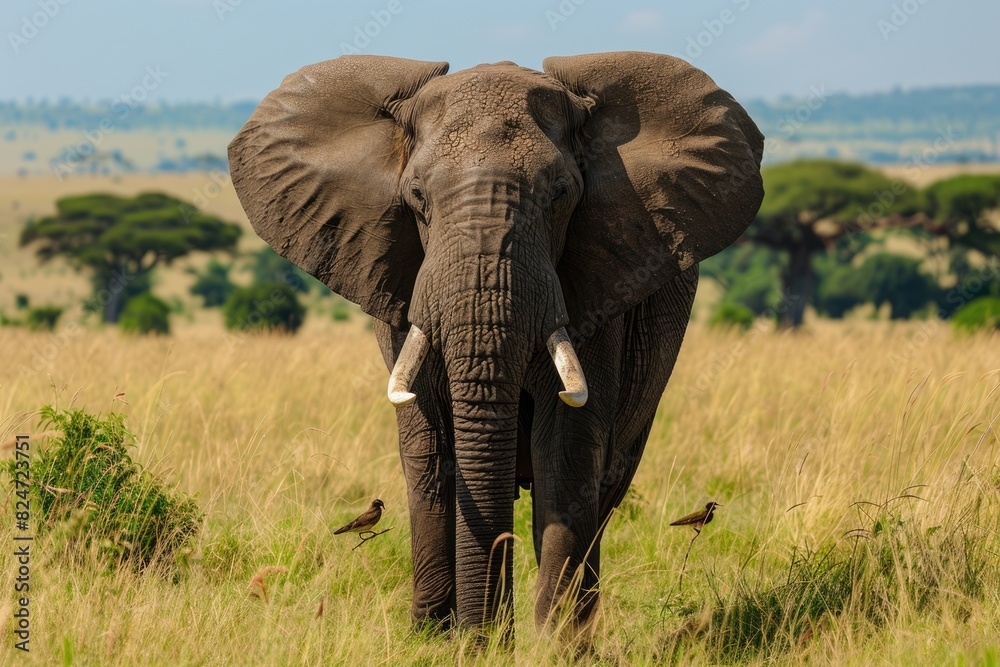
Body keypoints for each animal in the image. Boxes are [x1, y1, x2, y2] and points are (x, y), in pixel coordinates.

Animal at [228, 51, 764, 634]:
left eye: (560, 195)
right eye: (417, 197)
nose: (477, 636)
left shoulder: (603, 280)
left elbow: (568, 447)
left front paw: (551, 643)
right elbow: (429, 448)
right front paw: (435, 638)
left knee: (605, 487)